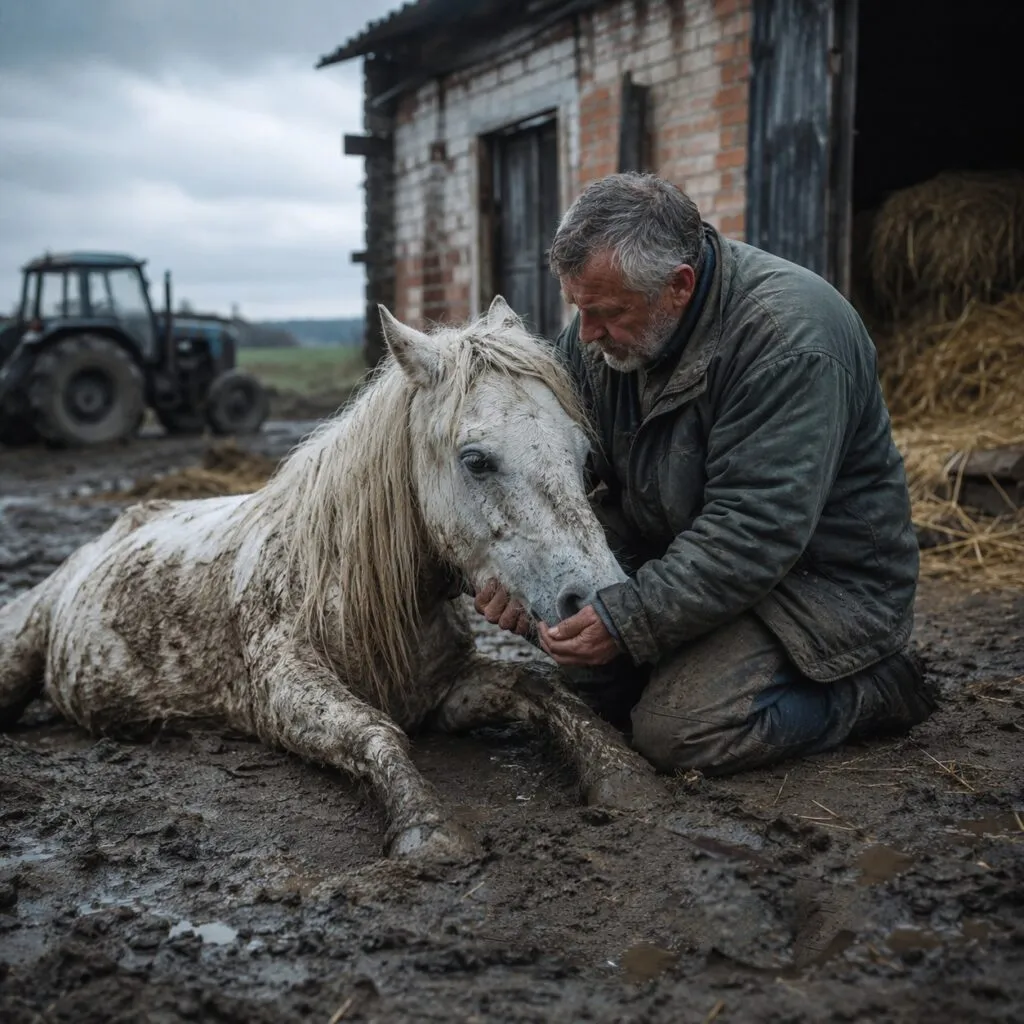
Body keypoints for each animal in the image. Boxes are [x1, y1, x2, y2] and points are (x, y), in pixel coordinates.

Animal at [0, 296, 667, 860]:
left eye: (584, 455)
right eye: (476, 460)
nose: (597, 599)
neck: (347, 584)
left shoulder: (445, 694)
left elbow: (541, 689)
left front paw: (620, 774)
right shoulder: (287, 694)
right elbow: (373, 732)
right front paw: (426, 828)